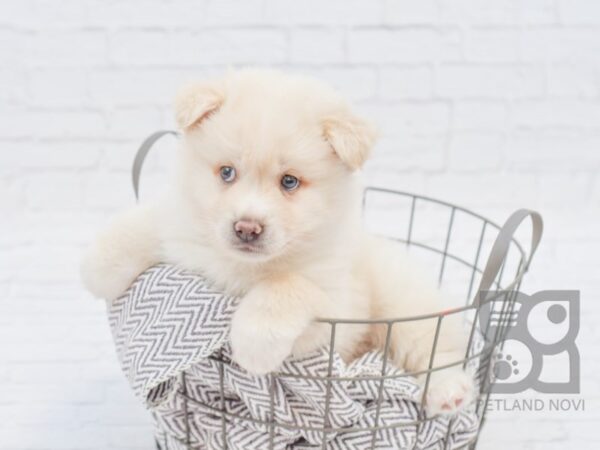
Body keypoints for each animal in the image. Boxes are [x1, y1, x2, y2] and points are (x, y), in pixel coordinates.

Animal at [82, 68, 474, 416]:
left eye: (289, 182)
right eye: (227, 172)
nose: (246, 228)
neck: (244, 267)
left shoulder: (334, 309)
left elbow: (285, 286)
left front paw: (253, 343)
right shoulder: (184, 232)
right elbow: (151, 224)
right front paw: (99, 264)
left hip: (404, 307)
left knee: (436, 349)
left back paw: (448, 392)